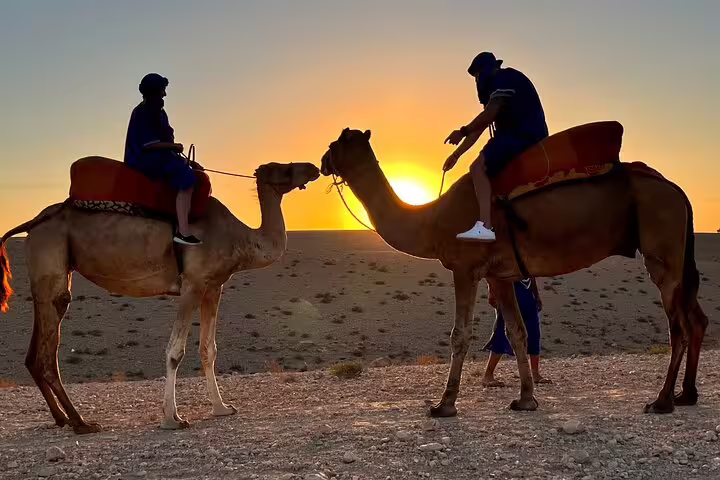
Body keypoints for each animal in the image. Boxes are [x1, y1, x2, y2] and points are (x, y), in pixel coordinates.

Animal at [0, 160, 320, 434]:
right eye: (284, 168)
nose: (313, 167)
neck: (240, 240)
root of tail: (33, 223)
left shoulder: (213, 287)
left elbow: (209, 349)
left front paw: (221, 408)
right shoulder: (192, 284)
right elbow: (175, 352)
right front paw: (172, 419)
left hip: (49, 271)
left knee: (34, 353)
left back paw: (62, 419)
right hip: (51, 257)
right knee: (49, 347)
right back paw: (82, 422)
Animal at [319, 128, 707, 417]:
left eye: (336, 144)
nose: (322, 162)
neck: (431, 221)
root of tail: (676, 189)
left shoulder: (465, 268)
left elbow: (460, 334)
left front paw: (444, 404)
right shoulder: (499, 275)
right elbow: (517, 331)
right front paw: (525, 399)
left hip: (662, 251)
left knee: (678, 326)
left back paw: (662, 401)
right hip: (677, 255)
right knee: (696, 318)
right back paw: (687, 395)